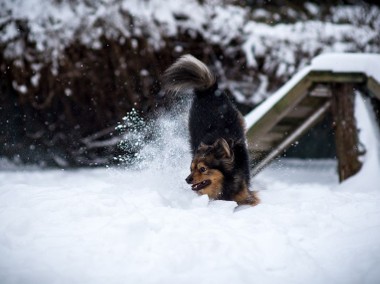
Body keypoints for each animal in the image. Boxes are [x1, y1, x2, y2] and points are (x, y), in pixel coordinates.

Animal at [162, 55, 260, 206]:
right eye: (191, 168)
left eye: (203, 169)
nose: (187, 179)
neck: (225, 183)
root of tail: (208, 90)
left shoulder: (247, 196)